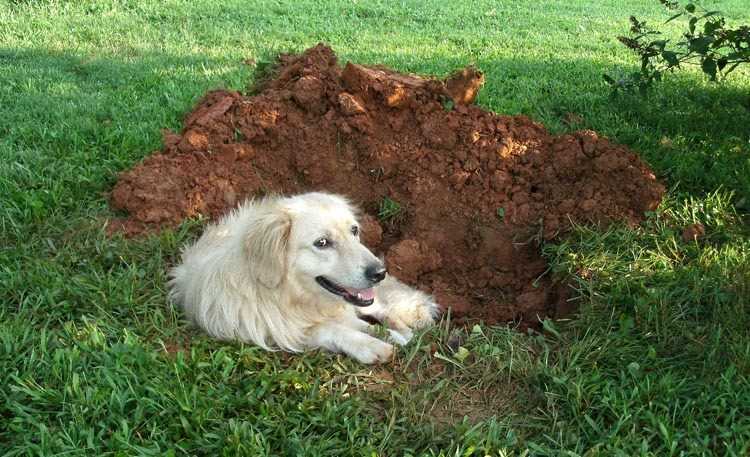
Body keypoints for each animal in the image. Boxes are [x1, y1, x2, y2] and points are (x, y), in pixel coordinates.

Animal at [170, 191, 440, 362]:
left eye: (354, 230)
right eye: (322, 243)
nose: (380, 273)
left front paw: (392, 335)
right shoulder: (275, 330)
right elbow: (331, 329)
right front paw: (370, 345)